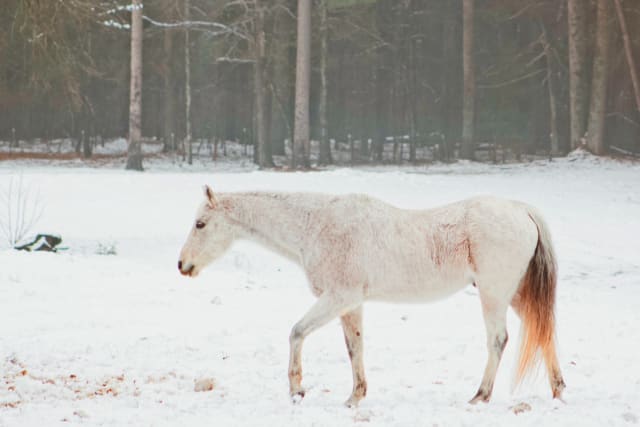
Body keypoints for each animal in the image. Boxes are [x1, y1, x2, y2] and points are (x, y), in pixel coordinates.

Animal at [178, 187, 564, 408]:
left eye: (200, 224)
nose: (183, 265)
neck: (316, 225)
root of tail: (520, 209)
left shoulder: (337, 297)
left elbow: (297, 332)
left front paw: (297, 389)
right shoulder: (351, 304)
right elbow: (355, 348)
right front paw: (355, 396)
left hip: (493, 295)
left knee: (499, 340)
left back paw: (481, 395)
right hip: (515, 295)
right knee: (543, 333)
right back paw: (558, 389)